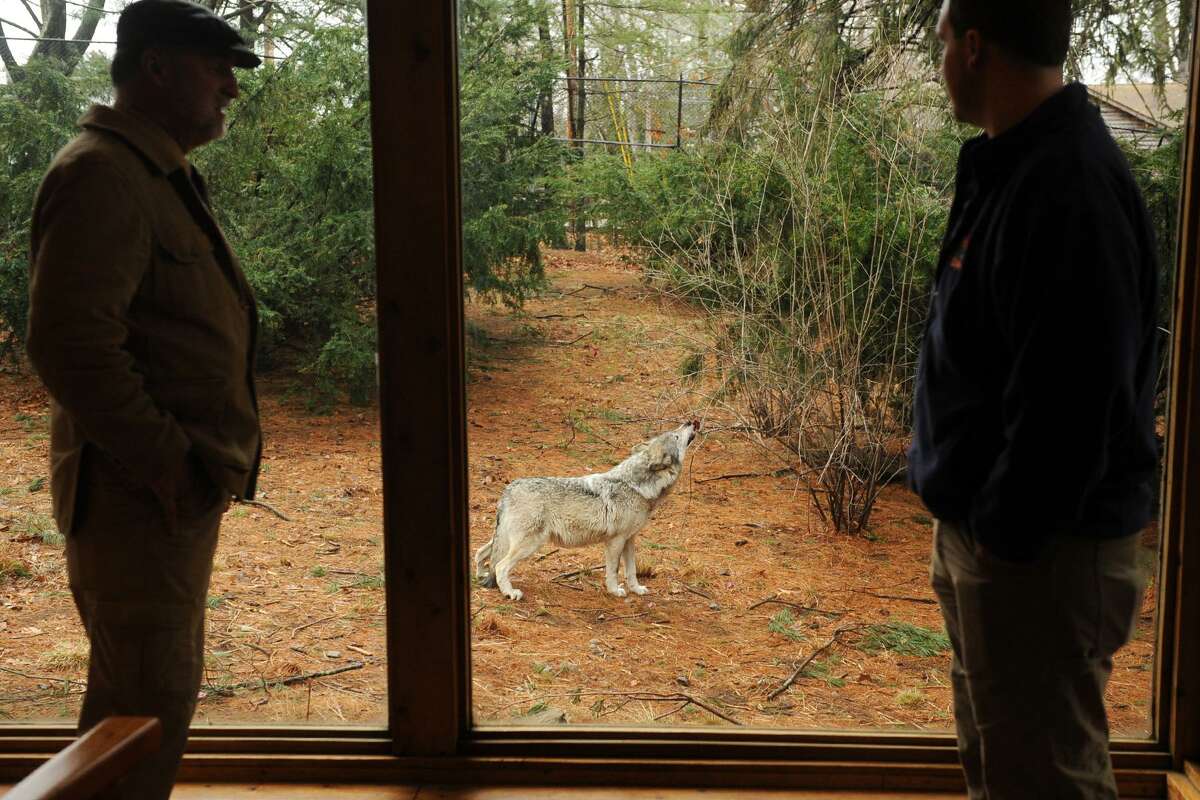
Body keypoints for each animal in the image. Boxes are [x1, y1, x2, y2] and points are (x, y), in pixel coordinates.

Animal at [475, 421, 700, 601]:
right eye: (676, 435)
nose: (691, 421)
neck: (637, 486)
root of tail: (509, 488)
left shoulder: (630, 539)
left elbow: (632, 571)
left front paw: (636, 589)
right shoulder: (615, 541)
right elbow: (613, 571)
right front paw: (615, 591)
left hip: (505, 539)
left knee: (480, 554)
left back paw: (481, 576)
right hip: (529, 544)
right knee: (500, 566)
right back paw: (510, 593)